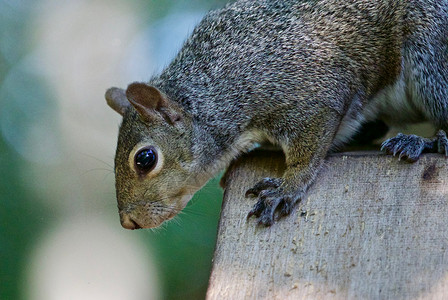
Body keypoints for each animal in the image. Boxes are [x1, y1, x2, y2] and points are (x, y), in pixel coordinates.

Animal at [106, 0, 448, 230]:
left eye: (145, 159)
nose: (128, 221)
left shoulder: (313, 93)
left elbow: (307, 154)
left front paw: (286, 188)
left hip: (430, 53)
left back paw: (422, 142)